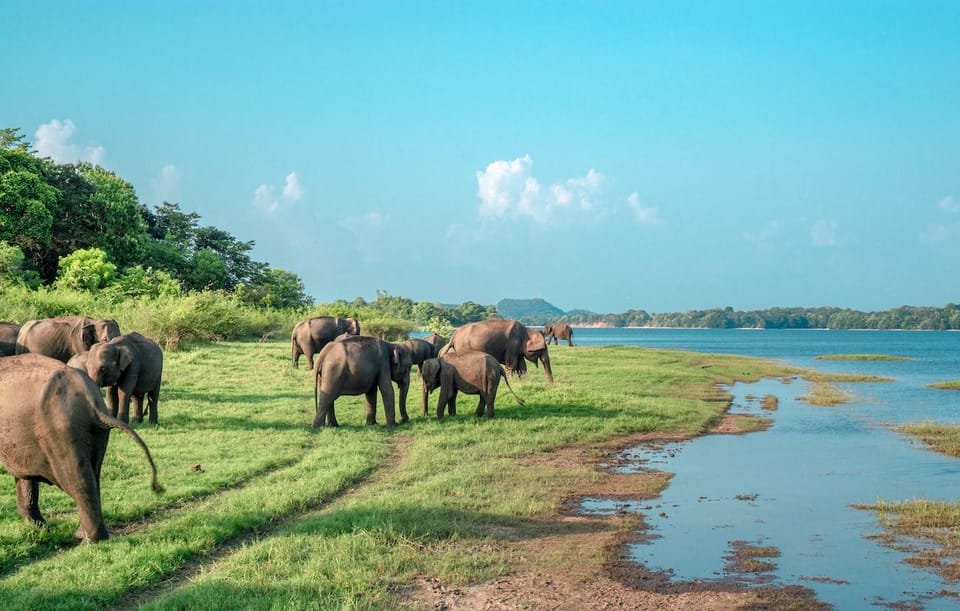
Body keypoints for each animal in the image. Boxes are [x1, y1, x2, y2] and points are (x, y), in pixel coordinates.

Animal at [0, 354, 163, 544]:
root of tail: (90, 397)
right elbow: (25, 475)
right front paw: (40, 529)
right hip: (95, 432)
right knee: (93, 473)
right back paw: (83, 535)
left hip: (61, 431)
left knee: (77, 478)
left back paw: (89, 541)